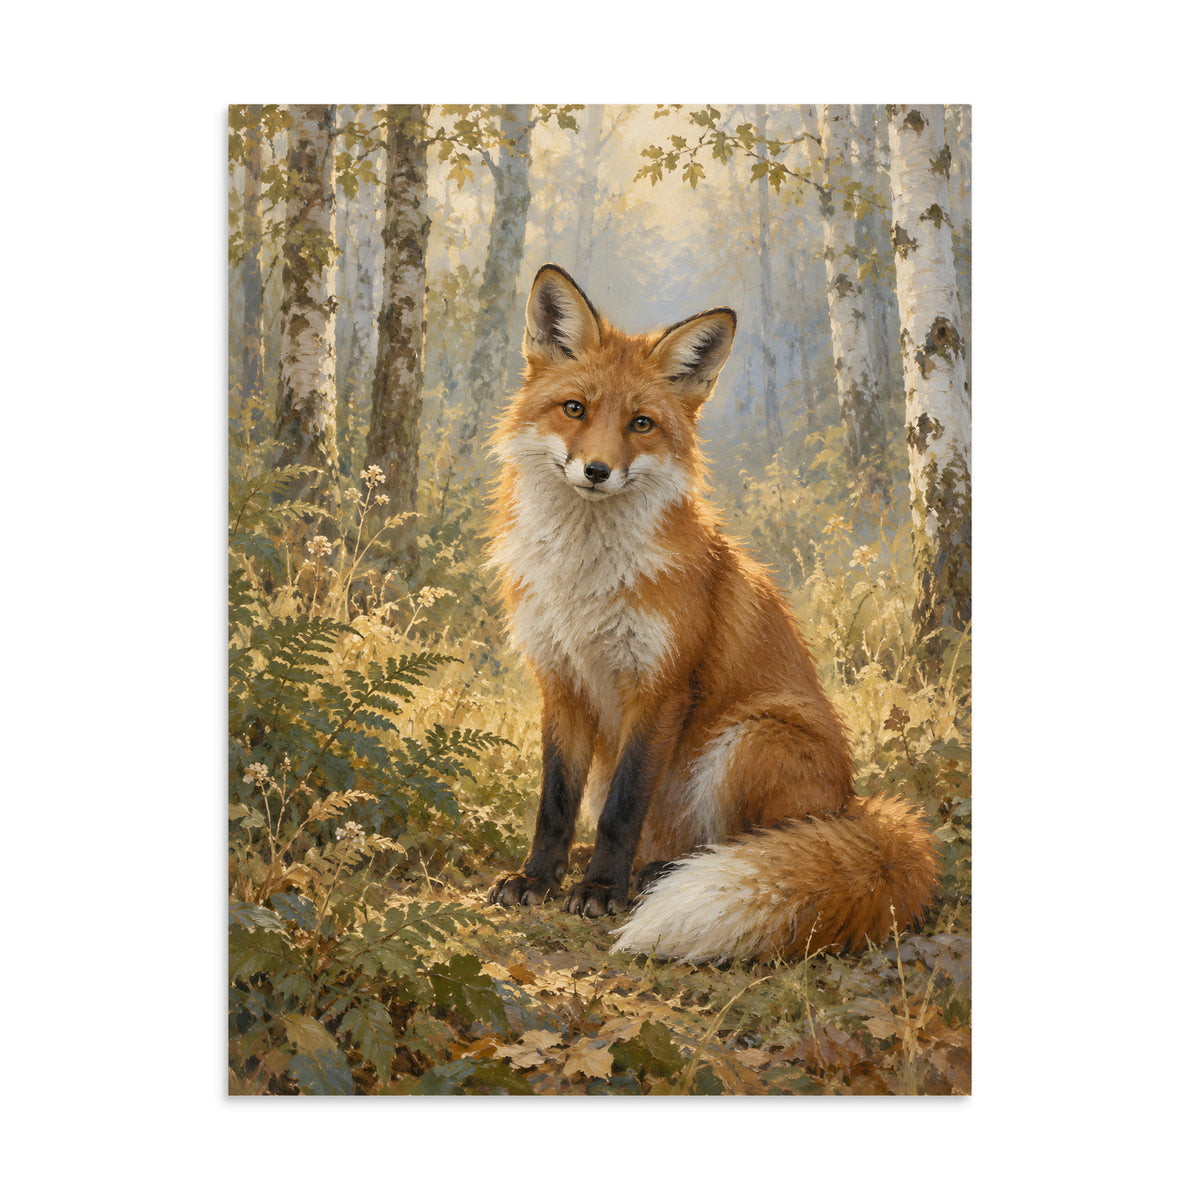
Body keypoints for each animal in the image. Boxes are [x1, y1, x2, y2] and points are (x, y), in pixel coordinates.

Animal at [486, 263, 940, 963]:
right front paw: (539, 878)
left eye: (642, 424)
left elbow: (622, 808)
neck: (586, 579)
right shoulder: (559, 680)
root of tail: (853, 806)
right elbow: (555, 803)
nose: (596, 470)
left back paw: (655, 876)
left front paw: (601, 890)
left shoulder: (661, 684)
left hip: (749, 739)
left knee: (741, 845)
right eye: (574, 409)